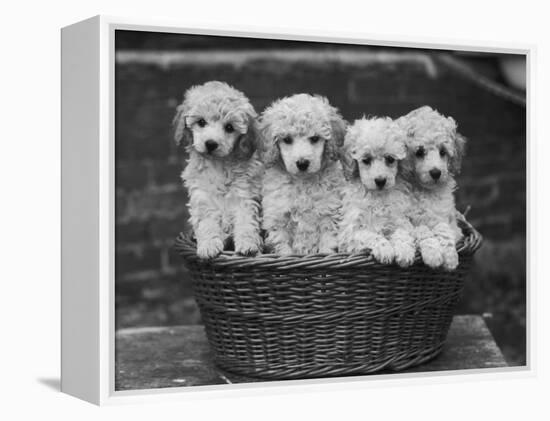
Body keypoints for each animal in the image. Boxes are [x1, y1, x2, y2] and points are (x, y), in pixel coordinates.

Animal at [175, 80, 266, 258]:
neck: (219, 165)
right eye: (201, 122)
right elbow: (206, 222)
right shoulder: (202, 196)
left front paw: (248, 245)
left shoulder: (244, 195)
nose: (211, 143)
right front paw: (209, 246)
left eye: (229, 127)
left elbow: (246, 221)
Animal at [260, 93, 348, 254]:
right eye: (287, 139)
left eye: (314, 138)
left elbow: (327, 243)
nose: (302, 163)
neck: (303, 182)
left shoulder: (329, 213)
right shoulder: (278, 218)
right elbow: (283, 248)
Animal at [338, 115, 416, 266]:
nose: (380, 180)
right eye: (366, 160)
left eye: (390, 159)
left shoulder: (399, 219)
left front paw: (404, 251)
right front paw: (385, 250)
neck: (378, 196)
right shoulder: (351, 231)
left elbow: (403, 232)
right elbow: (370, 235)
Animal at [398, 105, 468, 270]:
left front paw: (450, 258)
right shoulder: (406, 220)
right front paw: (433, 254)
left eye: (443, 151)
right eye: (419, 152)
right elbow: (422, 229)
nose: (436, 173)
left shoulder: (446, 218)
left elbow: (443, 229)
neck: (425, 191)